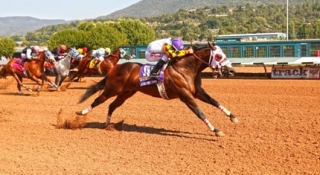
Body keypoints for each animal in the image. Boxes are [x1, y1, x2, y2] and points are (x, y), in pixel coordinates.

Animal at [76, 42, 239, 137]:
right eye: (219, 56)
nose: (231, 71)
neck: (185, 68)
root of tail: (114, 69)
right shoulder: (185, 95)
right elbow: (200, 112)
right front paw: (216, 130)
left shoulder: (197, 92)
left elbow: (215, 101)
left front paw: (233, 117)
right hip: (112, 89)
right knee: (98, 100)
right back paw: (80, 113)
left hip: (125, 94)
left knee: (111, 105)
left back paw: (107, 124)